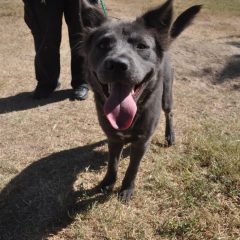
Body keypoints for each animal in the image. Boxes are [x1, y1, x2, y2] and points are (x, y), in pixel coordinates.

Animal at [79, 0, 202, 202]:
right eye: (103, 44)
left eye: (142, 46)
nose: (117, 65)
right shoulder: (114, 139)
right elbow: (112, 163)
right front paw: (107, 183)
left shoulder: (142, 141)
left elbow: (132, 167)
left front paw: (127, 189)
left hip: (167, 96)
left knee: (169, 113)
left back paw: (170, 135)